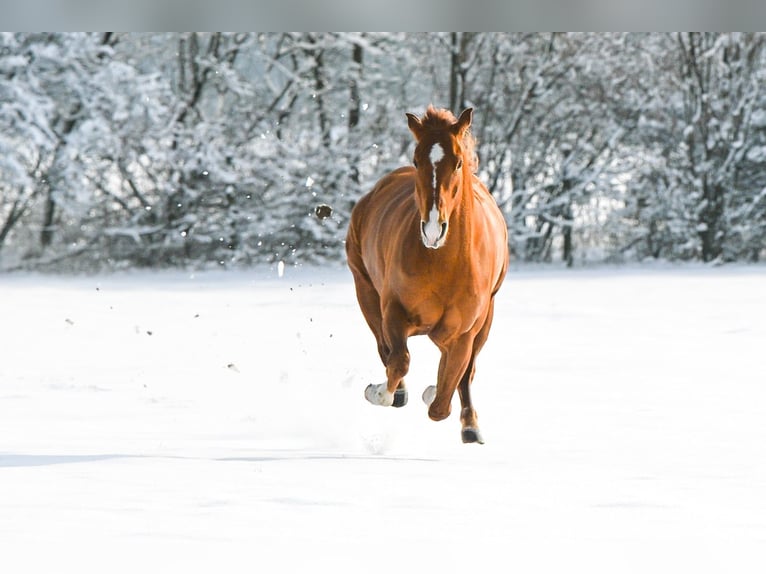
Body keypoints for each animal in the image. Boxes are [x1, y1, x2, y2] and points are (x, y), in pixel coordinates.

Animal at [345, 106, 509, 444]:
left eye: (458, 162)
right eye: (416, 159)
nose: (433, 230)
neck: (443, 263)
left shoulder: (464, 331)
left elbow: (444, 399)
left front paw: (438, 394)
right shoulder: (393, 311)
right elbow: (399, 361)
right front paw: (379, 392)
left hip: (486, 319)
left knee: (466, 372)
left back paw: (470, 424)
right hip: (366, 293)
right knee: (386, 350)